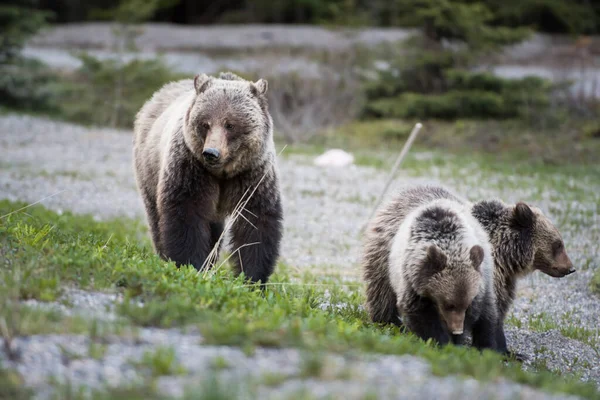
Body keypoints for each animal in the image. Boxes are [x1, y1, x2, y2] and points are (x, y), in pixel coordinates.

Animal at [132, 72, 282, 284]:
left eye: (230, 124)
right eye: (205, 123)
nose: (211, 153)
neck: (222, 173)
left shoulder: (253, 175)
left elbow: (255, 223)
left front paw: (252, 278)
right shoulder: (191, 167)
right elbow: (186, 213)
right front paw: (190, 264)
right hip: (149, 166)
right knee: (156, 215)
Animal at [364, 188, 500, 350]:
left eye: (466, 305)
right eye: (449, 304)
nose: (456, 330)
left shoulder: (480, 283)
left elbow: (482, 312)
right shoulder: (412, 280)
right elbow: (421, 315)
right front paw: (441, 341)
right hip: (382, 254)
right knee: (381, 293)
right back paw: (387, 322)